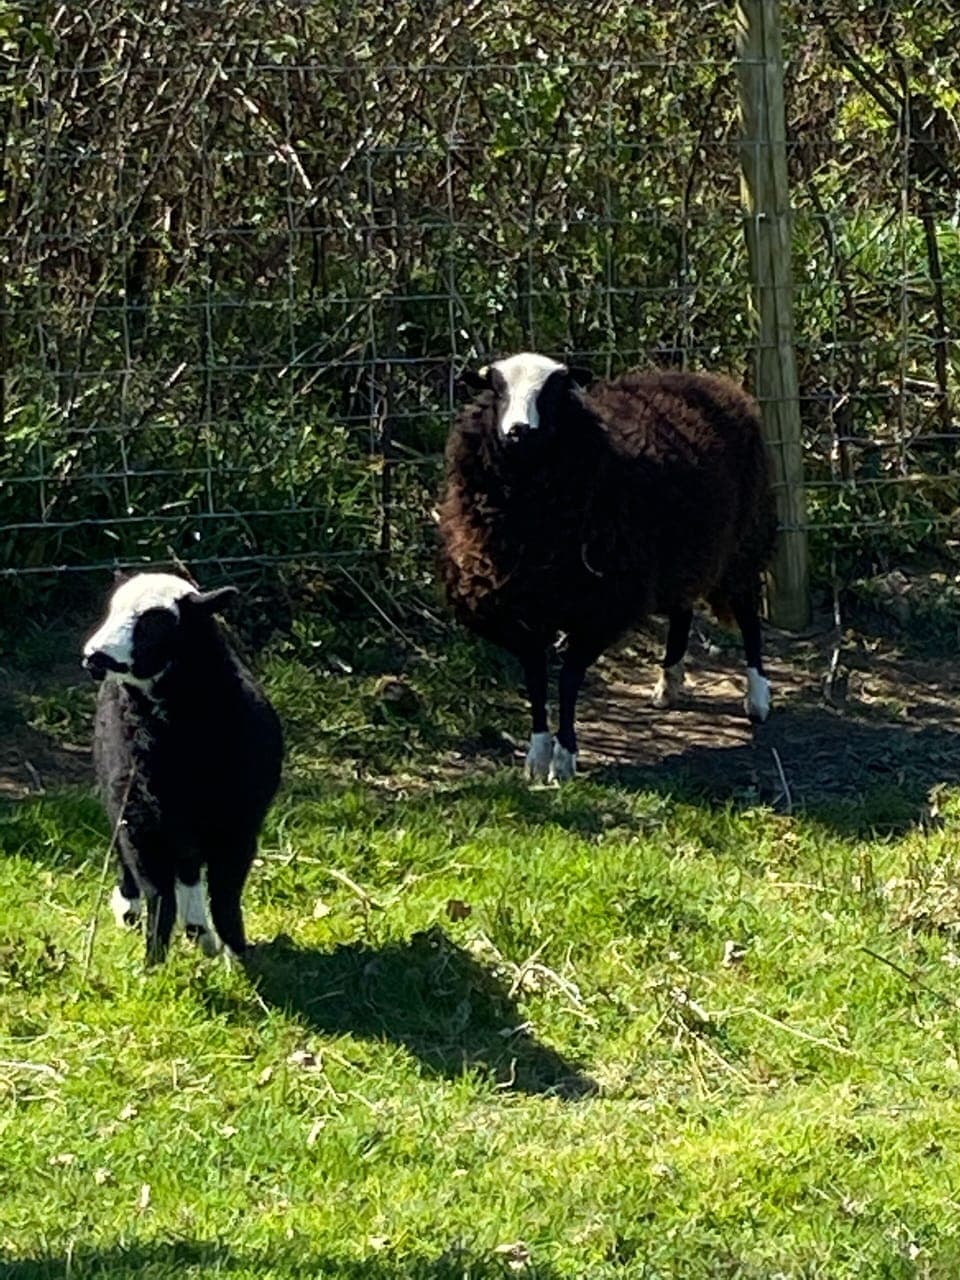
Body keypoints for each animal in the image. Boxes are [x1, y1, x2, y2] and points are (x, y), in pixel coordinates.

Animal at [82, 572, 283, 963]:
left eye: (155, 622)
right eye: (111, 610)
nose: (94, 656)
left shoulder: (238, 825)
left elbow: (225, 894)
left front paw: (236, 953)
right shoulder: (141, 821)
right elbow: (159, 895)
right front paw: (154, 962)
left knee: (189, 869)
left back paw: (201, 933)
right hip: (128, 804)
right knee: (145, 864)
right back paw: (138, 911)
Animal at [437, 352, 777, 782]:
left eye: (553, 393)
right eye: (497, 390)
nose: (518, 431)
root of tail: (711, 382)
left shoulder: (601, 608)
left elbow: (567, 680)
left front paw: (564, 758)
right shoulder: (516, 609)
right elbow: (535, 678)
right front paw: (537, 756)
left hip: (742, 544)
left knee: (748, 616)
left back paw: (758, 697)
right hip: (681, 553)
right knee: (682, 611)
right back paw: (668, 684)